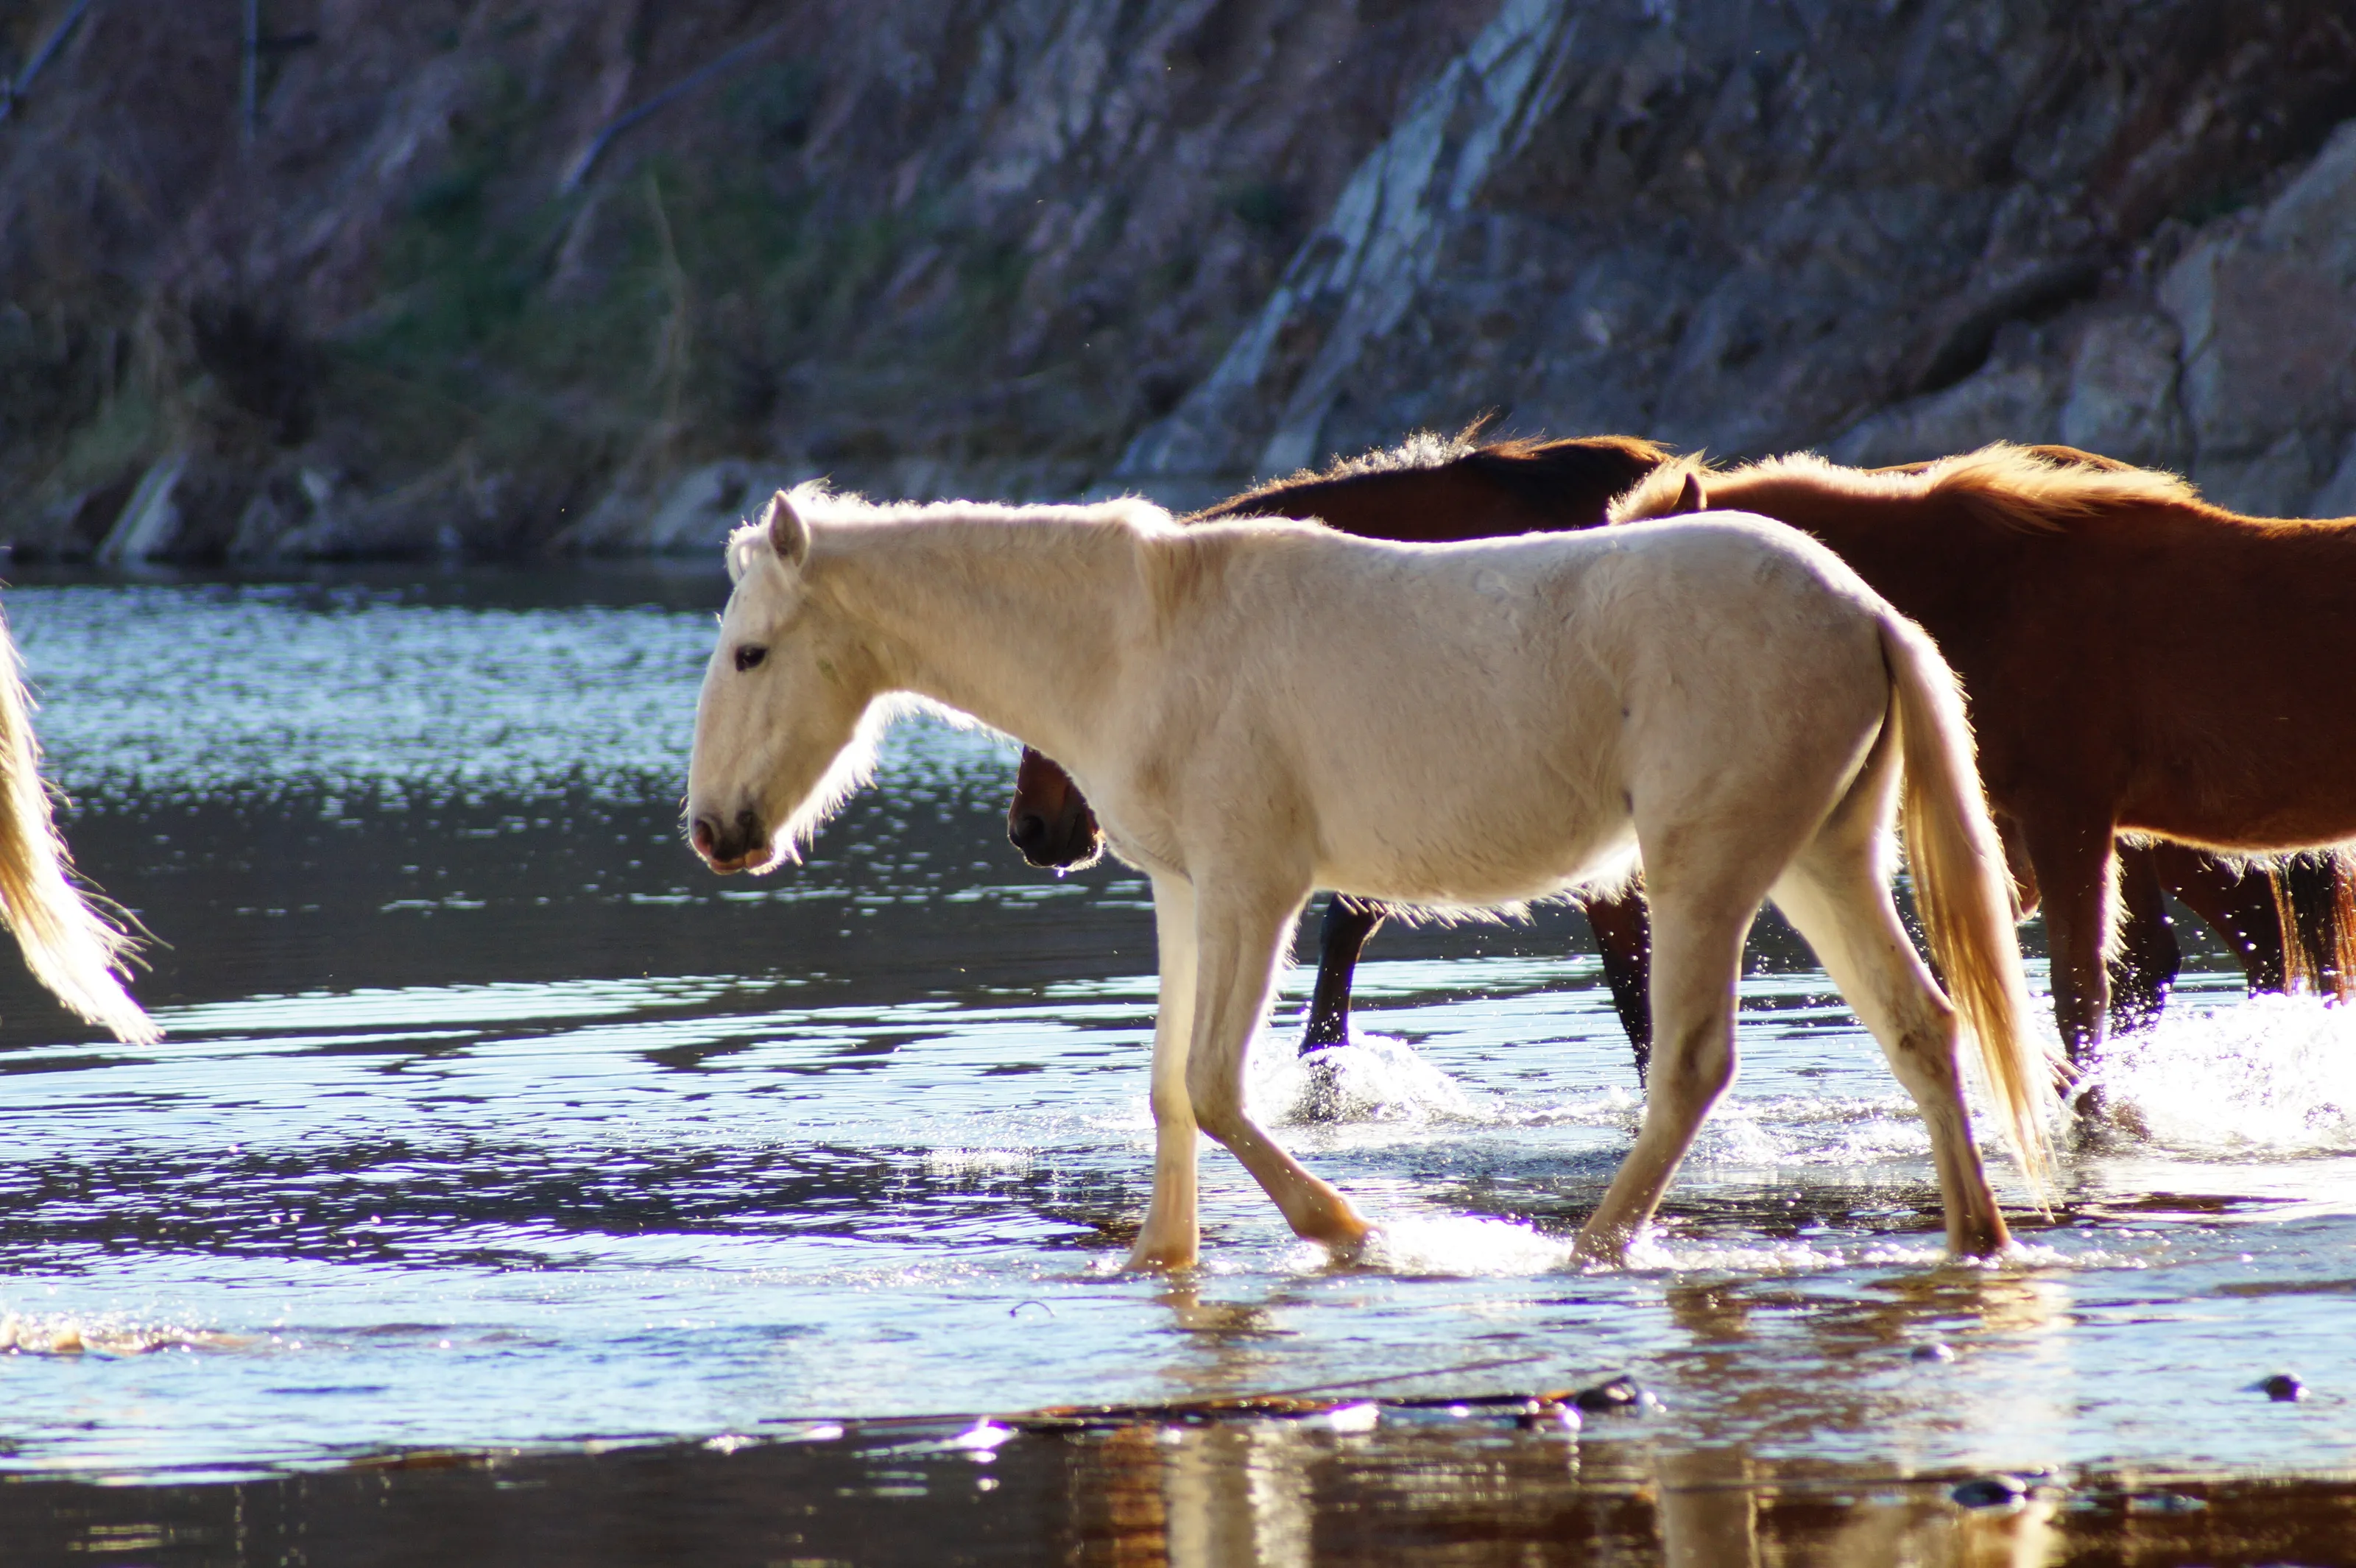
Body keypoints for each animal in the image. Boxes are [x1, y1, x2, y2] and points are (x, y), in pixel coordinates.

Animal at [687, 486, 2055, 1268]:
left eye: (751, 652)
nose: (714, 831)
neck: (1143, 638)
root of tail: (1861, 610)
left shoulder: (1257, 887)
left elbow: (1216, 1087)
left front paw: (1344, 1228)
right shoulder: (1186, 895)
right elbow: (1170, 1094)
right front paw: (1160, 1263)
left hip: (1705, 868)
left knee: (1690, 1068)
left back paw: (1589, 1249)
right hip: (1819, 860)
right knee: (1923, 1028)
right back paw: (1974, 1237)